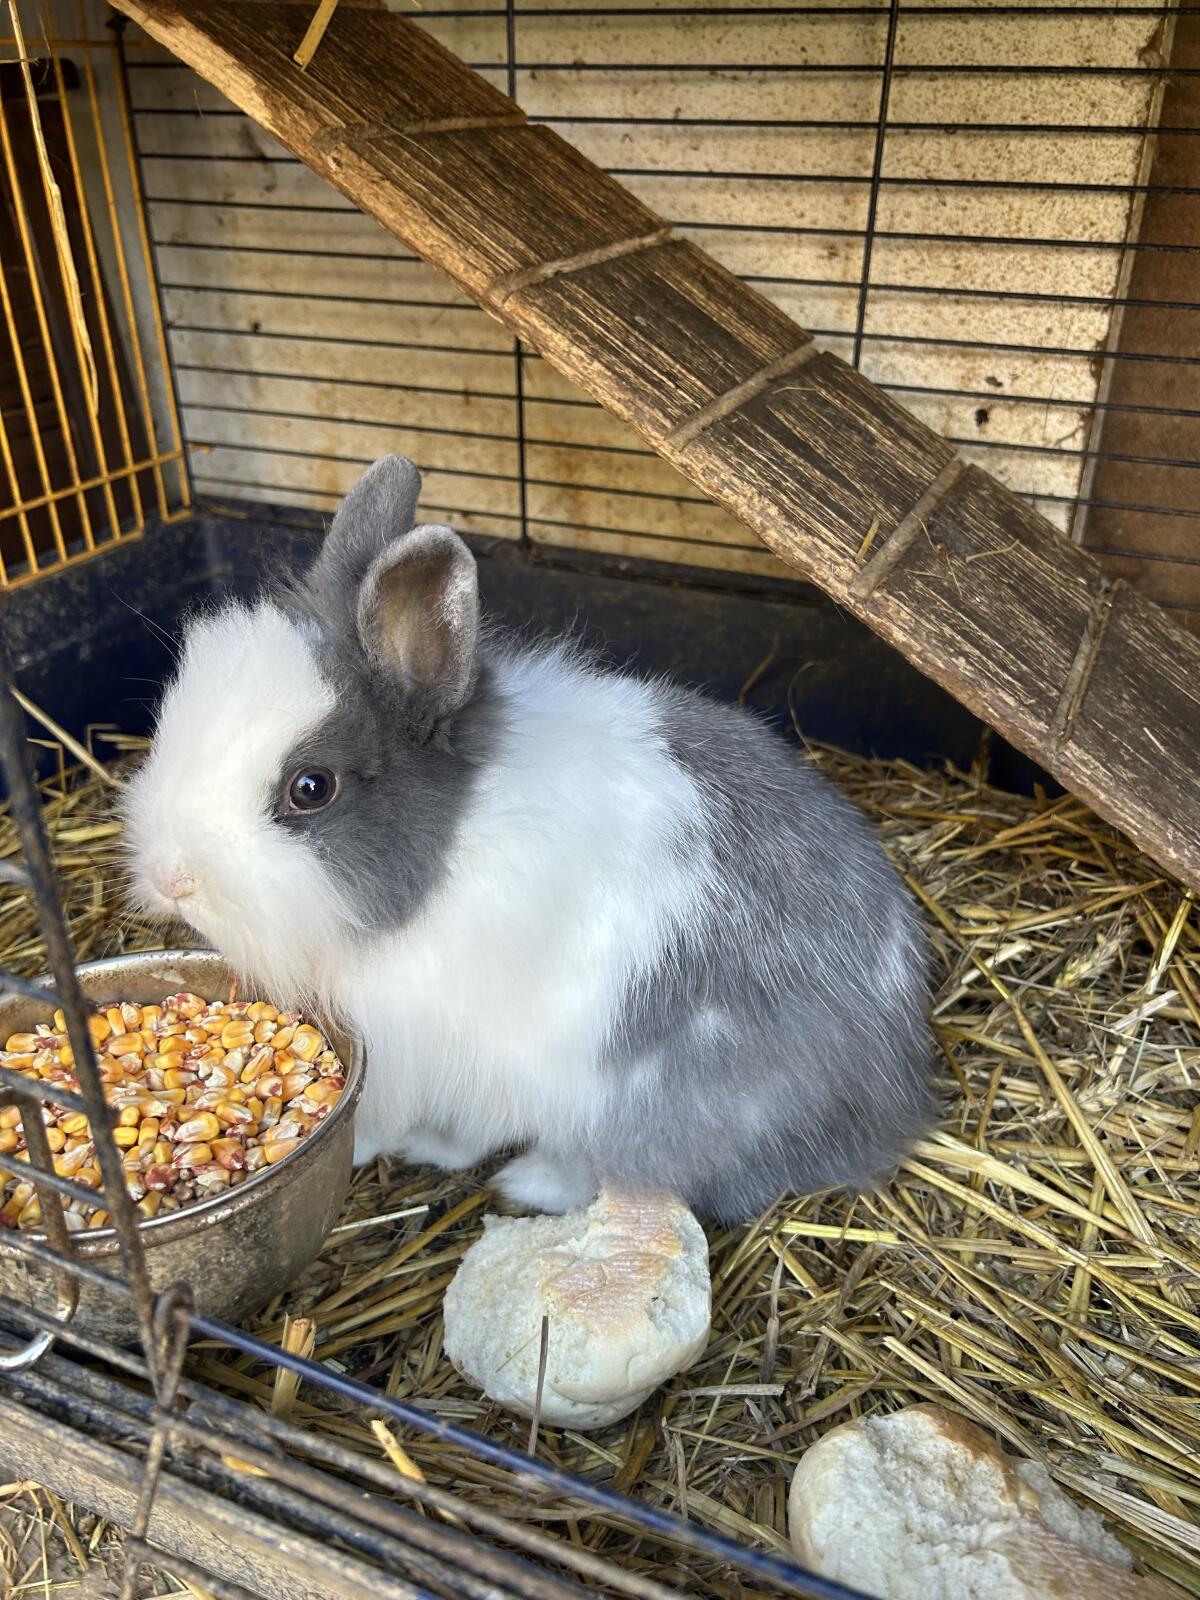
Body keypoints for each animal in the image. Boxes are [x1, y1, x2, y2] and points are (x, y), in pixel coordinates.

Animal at [123, 453, 935, 1224]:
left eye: (311, 788)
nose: (172, 877)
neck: (453, 843)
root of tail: (891, 1106)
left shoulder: (468, 1055)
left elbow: (459, 1129)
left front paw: (405, 1147)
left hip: (644, 1104)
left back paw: (529, 1182)